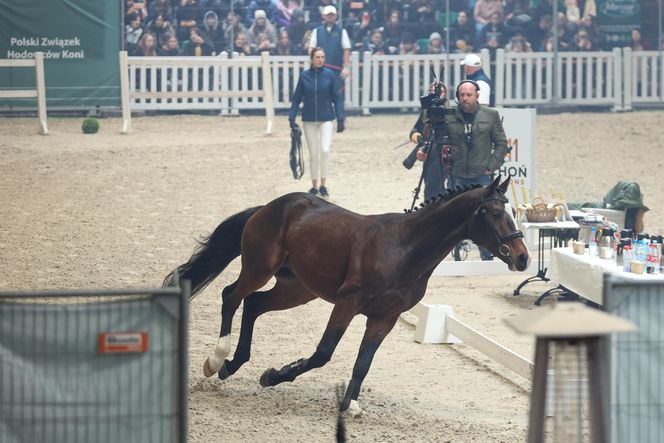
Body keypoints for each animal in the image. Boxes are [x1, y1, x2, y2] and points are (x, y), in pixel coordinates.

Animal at [165, 176, 528, 416]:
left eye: (511, 210)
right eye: (494, 212)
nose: (522, 257)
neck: (404, 250)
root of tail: (270, 207)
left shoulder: (384, 318)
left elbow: (363, 363)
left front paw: (349, 404)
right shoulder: (347, 304)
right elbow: (323, 353)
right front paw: (274, 376)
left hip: (297, 289)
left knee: (253, 305)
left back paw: (232, 365)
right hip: (259, 269)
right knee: (231, 297)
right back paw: (216, 360)